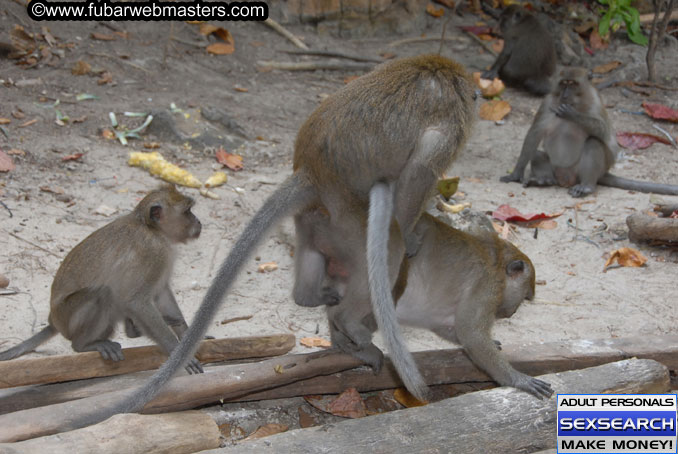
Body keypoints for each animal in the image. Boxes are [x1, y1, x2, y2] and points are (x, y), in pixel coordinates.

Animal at [296, 207, 552, 400]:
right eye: (524, 296)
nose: (512, 312)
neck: (497, 260)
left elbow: (450, 328)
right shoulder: (487, 287)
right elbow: (471, 335)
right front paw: (517, 379)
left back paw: (342, 340)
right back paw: (346, 326)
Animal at [500, 67, 678, 197]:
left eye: (573, 84)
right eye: (563, 83)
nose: (565, 94)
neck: (576, 102)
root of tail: (565, 179)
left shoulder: (595, 101)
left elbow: (604, 132)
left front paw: (572, 114)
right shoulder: (547, 103)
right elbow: (534, 134)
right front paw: (516, 174)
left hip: (585, 171)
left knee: (594, 143)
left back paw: (586, 187)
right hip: (556, 169)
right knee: (537, 154)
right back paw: (544, 180)